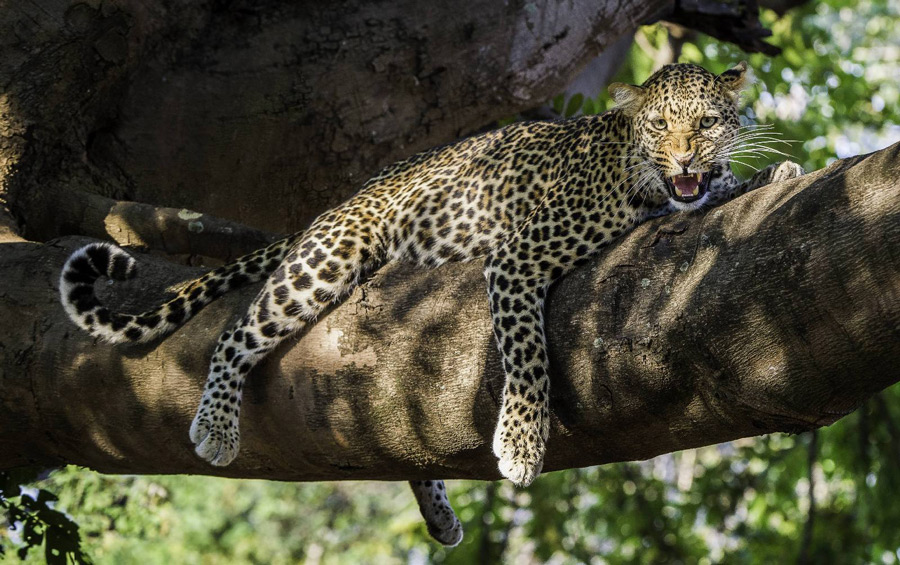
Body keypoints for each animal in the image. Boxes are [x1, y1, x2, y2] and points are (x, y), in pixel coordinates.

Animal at [59, 61, 803, 546]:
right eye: (660, 125)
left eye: (704, 124)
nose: (684, 161)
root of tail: (348, 195)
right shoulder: (517, 258)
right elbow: (528, 356)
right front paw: (521, 441)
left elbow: (724, 188)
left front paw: (770, 172)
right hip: (327, 259)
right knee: (237, 331)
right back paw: (216, 422)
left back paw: (438, 512)